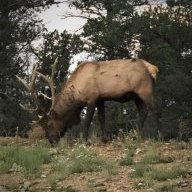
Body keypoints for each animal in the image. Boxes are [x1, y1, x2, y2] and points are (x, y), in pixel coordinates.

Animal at [16, 58, 160, 144]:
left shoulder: (92, 98)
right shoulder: (101, 99)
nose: (51, 141)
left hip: (145, 90)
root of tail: (153, 69)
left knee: (155, 111)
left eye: (50, 124)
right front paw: (104, 139)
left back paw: (158, 135)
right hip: (136, 96)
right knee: (143, 112)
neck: (77, 95)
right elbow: (102, 118)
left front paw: (84, 140)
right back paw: (138, 136)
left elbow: (87, 121)